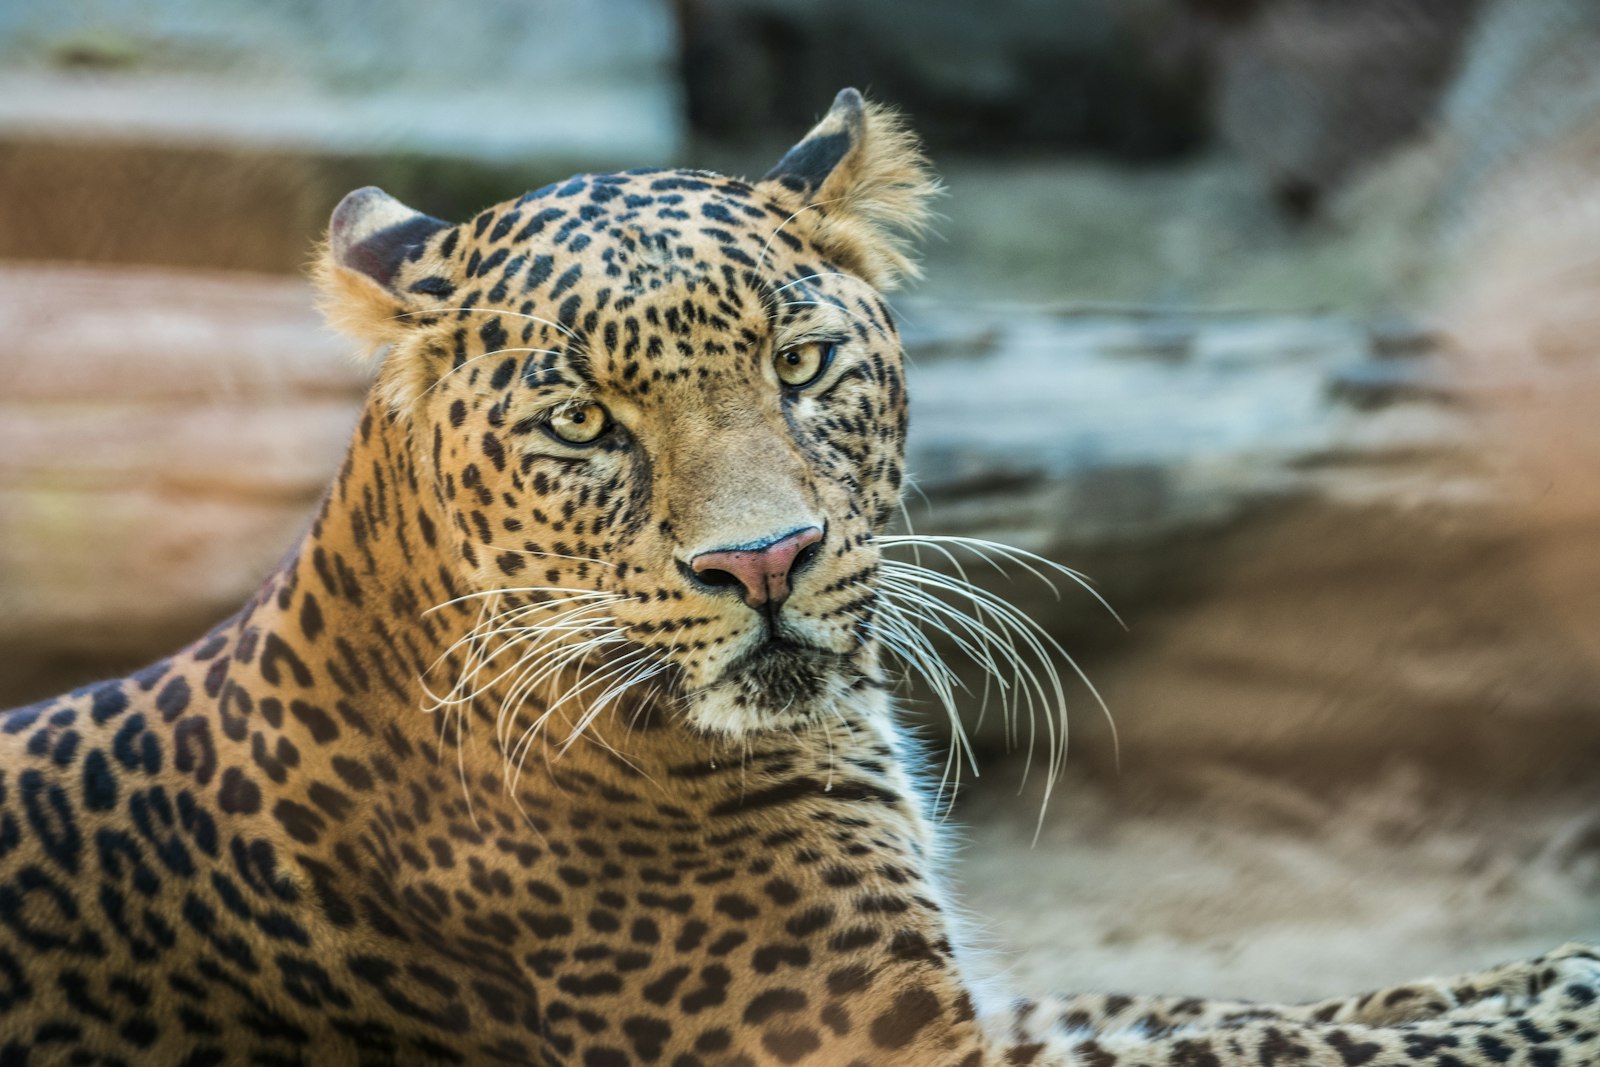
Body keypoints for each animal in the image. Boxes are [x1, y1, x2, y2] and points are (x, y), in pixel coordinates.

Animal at [0, 87, 1595, 1067]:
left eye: (802, 360)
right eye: (583, 423)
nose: (762, 560)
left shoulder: (974, 1000)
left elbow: (1222, 1006)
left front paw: (1540, 968)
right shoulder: (892, 1041)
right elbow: (1269, 1036)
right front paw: (1559, 1002)